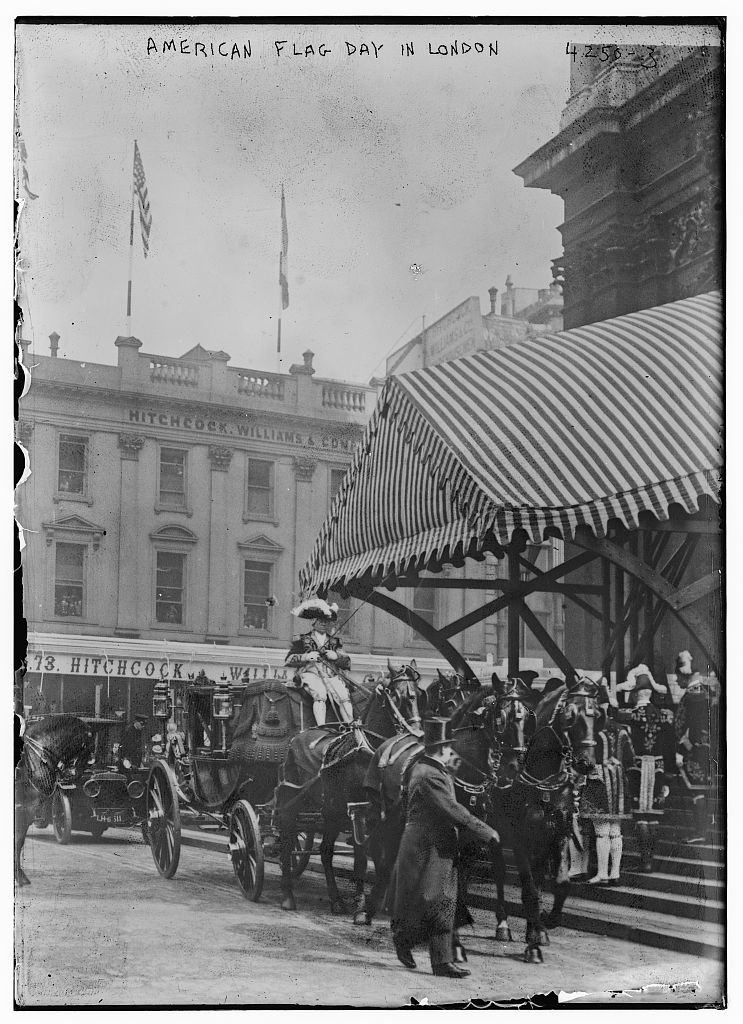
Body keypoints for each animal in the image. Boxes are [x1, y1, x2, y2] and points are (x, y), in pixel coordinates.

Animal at [15, 716, 93, 884]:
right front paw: (19, 876)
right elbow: (18, 841)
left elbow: (19, 841)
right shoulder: (24, 811)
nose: (72, 775)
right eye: (87, 746)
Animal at [274, 659, 425, 917]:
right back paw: (287, 894)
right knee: (287, 839)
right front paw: (361, 904)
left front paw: (375, 904)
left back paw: (335, 900)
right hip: (293, 803)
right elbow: (361, 860)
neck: (371, 752)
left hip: (330, 812)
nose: (417, 733)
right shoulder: (359, 812)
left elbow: (384, 861)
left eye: (417, 694)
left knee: (325, 851)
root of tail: (297, 738)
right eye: (395, 694)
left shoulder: (386, 816)